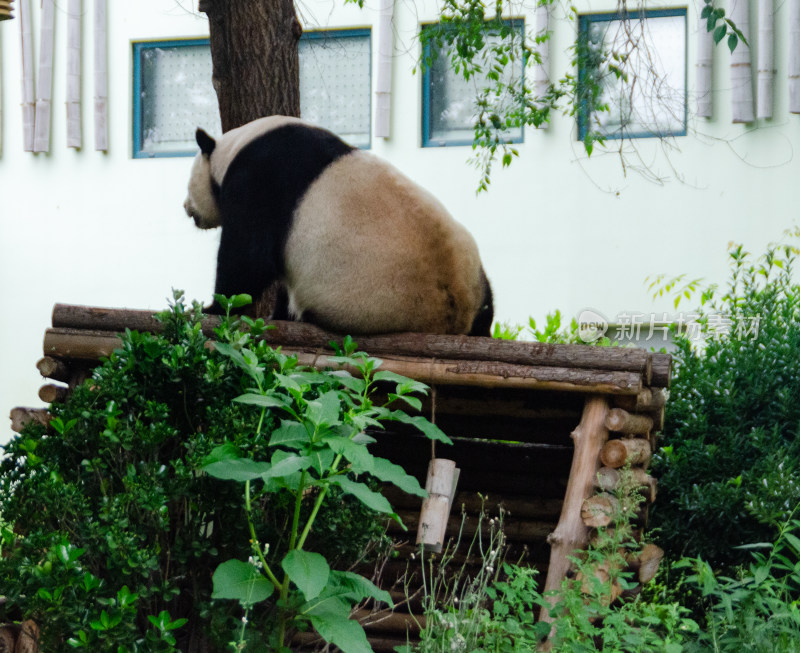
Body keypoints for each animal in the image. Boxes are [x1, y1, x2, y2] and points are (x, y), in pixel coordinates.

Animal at [184, 115, 490, 336]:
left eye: (188, 185)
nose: (186, 209)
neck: (235, 146)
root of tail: (454, 317)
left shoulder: (258, 179)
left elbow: (247, 258)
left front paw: (214, 307)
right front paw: (277, 313)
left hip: (370, 301)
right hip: (472, 269)